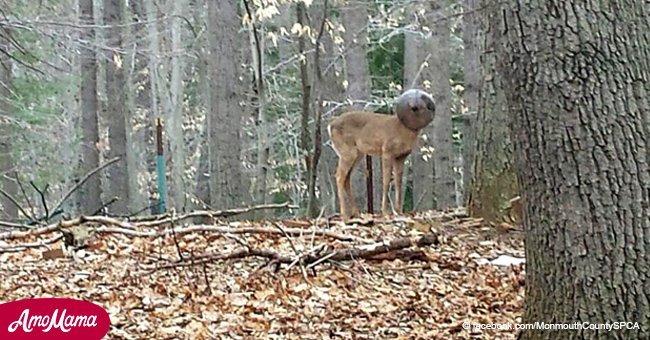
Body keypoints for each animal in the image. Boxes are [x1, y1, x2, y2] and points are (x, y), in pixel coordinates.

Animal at [326, 89, 432, 224]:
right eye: (416, 107)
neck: (403, 131)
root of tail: (330, 126)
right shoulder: (387, 151)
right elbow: (386, 180)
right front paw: (385, 212)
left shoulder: (401, 157)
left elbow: (398, 181)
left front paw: (399, 211)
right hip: (347, 152)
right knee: (339, 176)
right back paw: (345, 216)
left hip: (358, 154)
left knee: (346, 178)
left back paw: (356, 214)